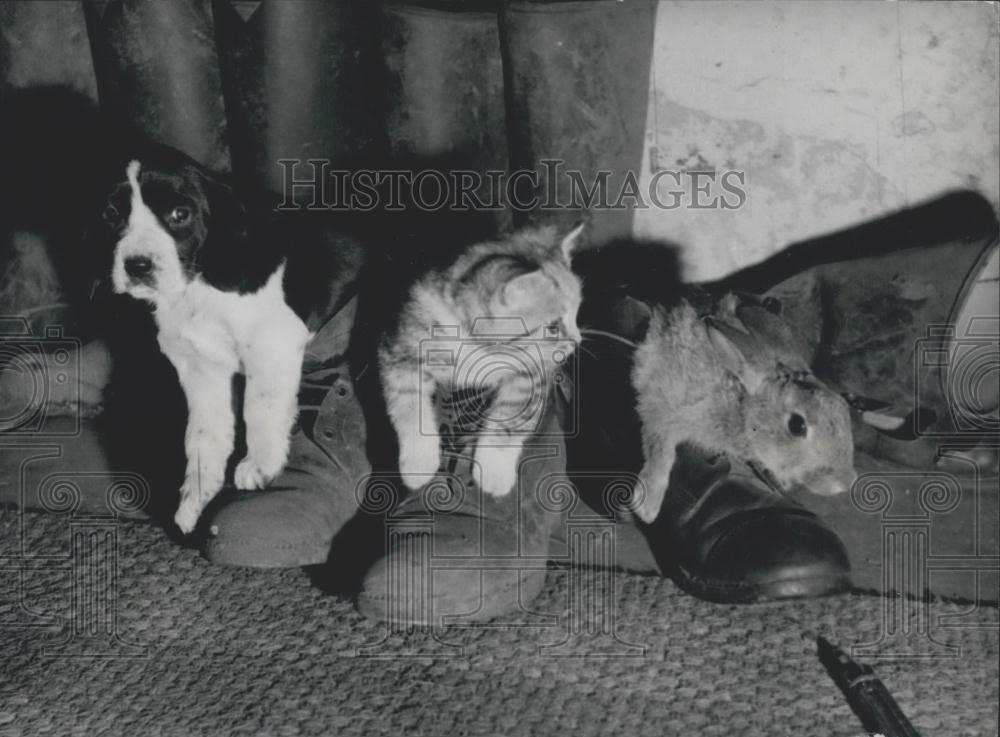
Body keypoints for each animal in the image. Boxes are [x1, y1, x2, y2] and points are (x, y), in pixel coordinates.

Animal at [97, 144, 362, 532]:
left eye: (179, 214)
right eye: (112, 214)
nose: (138, 265)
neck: (197, 285)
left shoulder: (271, 345)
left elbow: (259, 407)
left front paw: (260, 464)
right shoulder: (200, 370)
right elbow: (203, 435)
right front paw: (195, 497)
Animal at [380, 226, 584, 494]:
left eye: (577, 313)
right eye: (552, 327)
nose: (576, 342)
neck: (479, 345)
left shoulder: (532, 370)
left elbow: (514, 415)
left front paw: (494, 469)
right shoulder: (402, 348)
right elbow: (407, 403)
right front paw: (418, 461)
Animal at [628, 288, 856, 524]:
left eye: (844, 409)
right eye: (797, 425)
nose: (845, 482)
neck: (741, 406)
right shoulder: (667, 403)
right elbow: (659, 449)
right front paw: (646, 506)